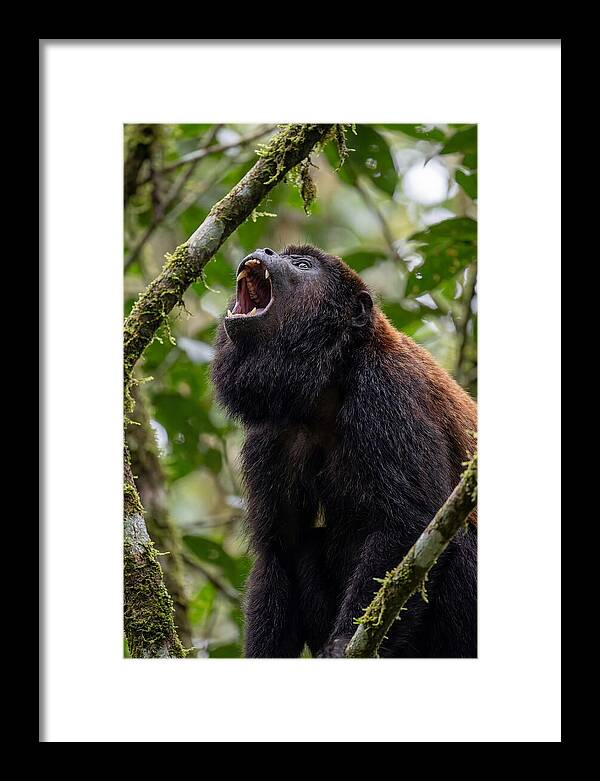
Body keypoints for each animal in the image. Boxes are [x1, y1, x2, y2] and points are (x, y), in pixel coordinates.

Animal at [211, 245, 477, 658]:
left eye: (302, 265)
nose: (265, 250)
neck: (330, 380)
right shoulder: (270, 434)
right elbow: (279, 551)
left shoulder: (386, 393)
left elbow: (410, 522)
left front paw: (341, 643)